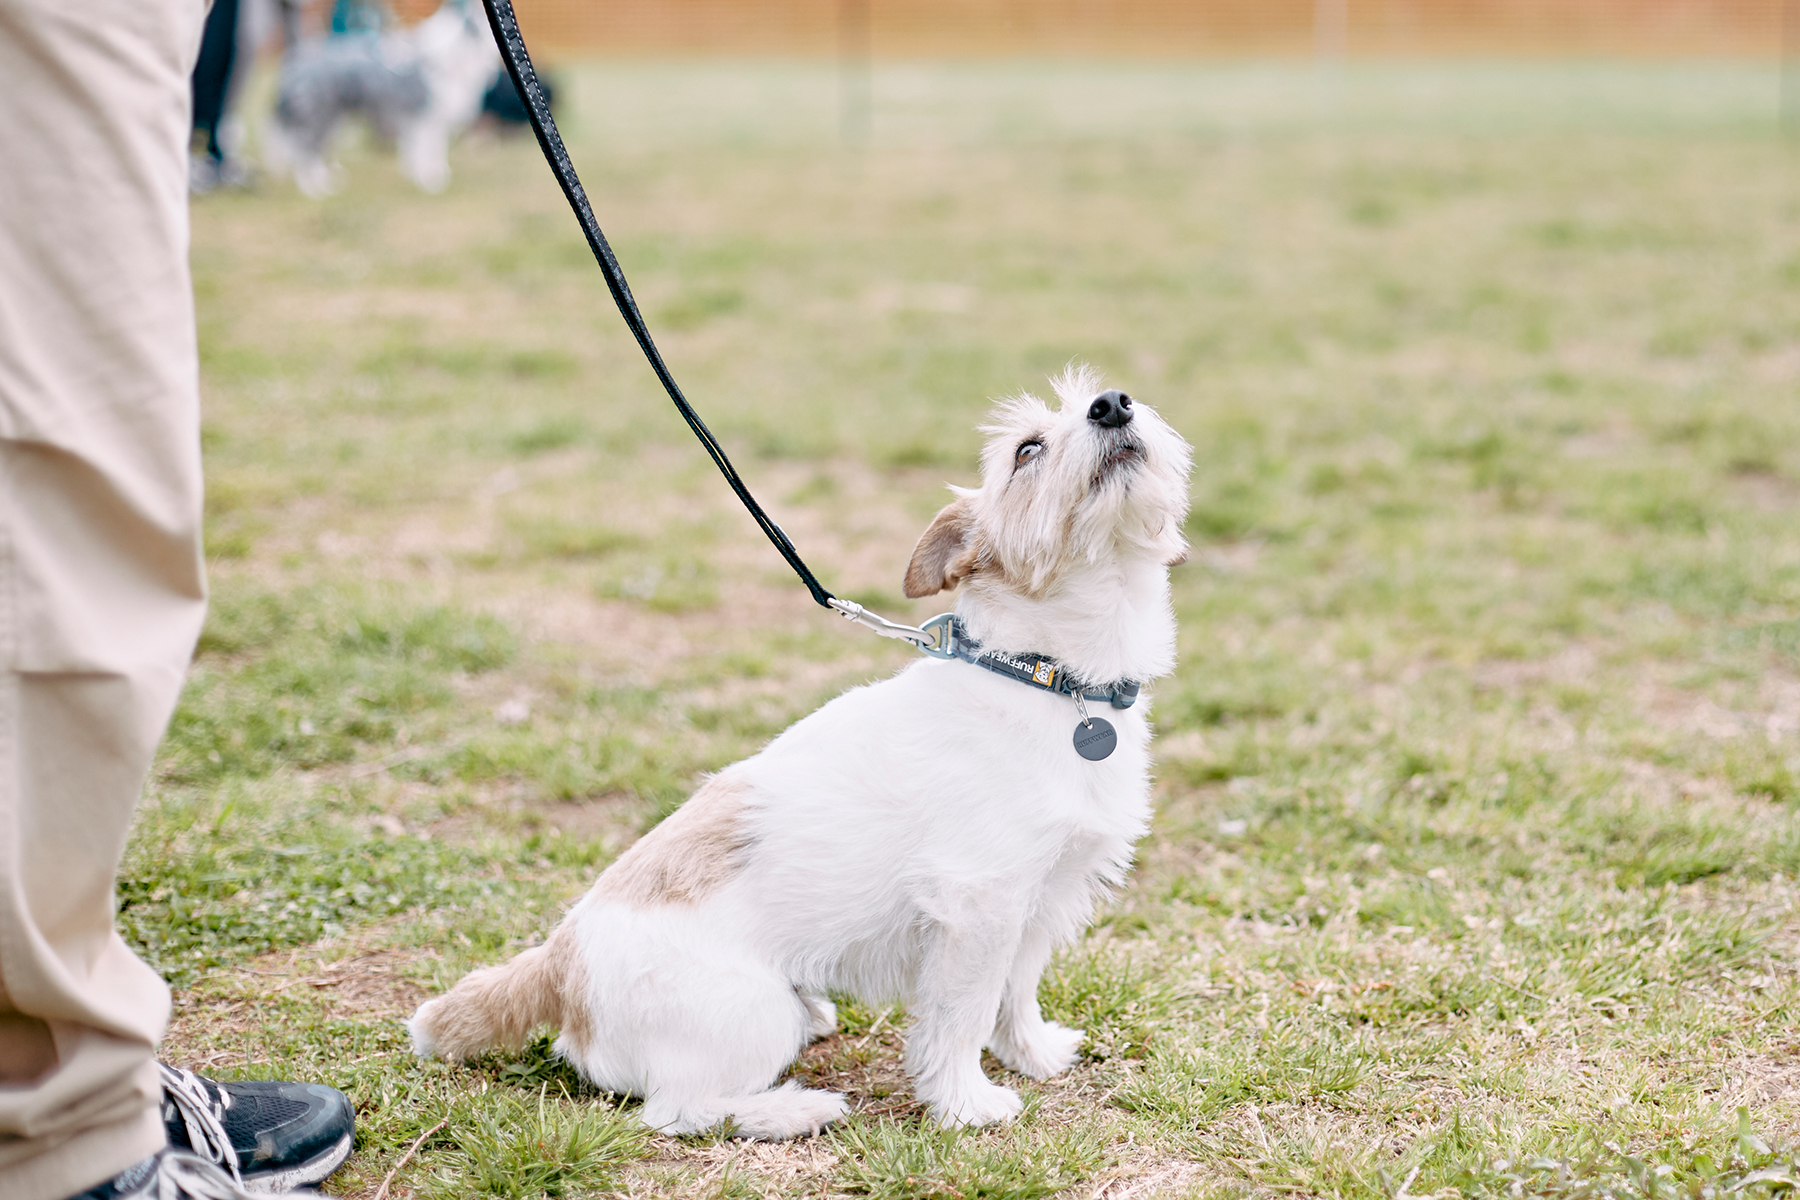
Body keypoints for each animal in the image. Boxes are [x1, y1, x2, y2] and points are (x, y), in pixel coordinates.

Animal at [408, 367, 1195, 1137]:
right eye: (1027, 450)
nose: (1112, 405)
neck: (1048, 677)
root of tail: (558, 963)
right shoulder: (979, 905)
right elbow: (960, 1015)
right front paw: (964, 1104)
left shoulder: (1040, 899)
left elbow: (1017, 991)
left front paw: (1031, 1054)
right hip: (750, 1015)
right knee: (676, 1111)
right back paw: (796, 1108)